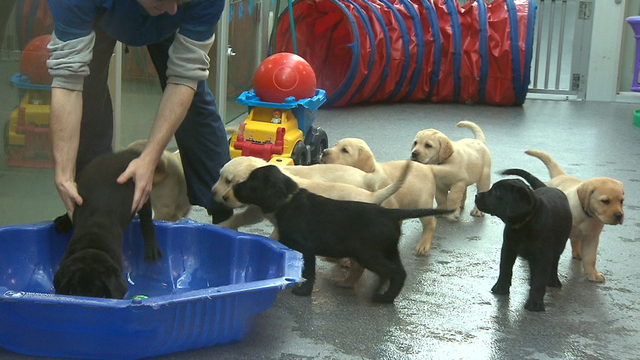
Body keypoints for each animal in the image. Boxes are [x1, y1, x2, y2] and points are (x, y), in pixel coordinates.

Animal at [53, 149, 162, 298]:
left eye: (101, 294)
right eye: (73, 291)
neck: (94, 236)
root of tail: (123, 153)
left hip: (142, 192)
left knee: (147, 220)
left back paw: (151, 248)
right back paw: (63, 222)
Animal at [232, 164, 452, 304]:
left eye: (252, 181)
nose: (234, 187)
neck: (288, 199)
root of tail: (390, 213)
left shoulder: (306, 249)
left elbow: (309, 273)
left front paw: (303, 292)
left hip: (368, 253)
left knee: (394, 272)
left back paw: (384, 298)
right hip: (387, 251)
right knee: (395, 272)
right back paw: (380, 291)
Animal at [476, 169, 568, 312]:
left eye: (496, 191)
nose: (476, 196)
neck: (524, 224)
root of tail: (547, 187)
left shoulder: (543, 255)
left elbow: (540, 280)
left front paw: (535, 303)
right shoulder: (508, 248)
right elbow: (505, 268)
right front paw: (500, 288)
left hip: (559, 246)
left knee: (554, 263)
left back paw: (553, 281)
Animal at [524, 148, 624, 282]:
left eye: (621, 201)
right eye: (605, 201)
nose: (619, 215)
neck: (586, 214)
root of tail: (560, 176)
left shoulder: (591, 238)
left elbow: (590, 258)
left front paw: (592, 273)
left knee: (576, 241)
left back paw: (578, 253)